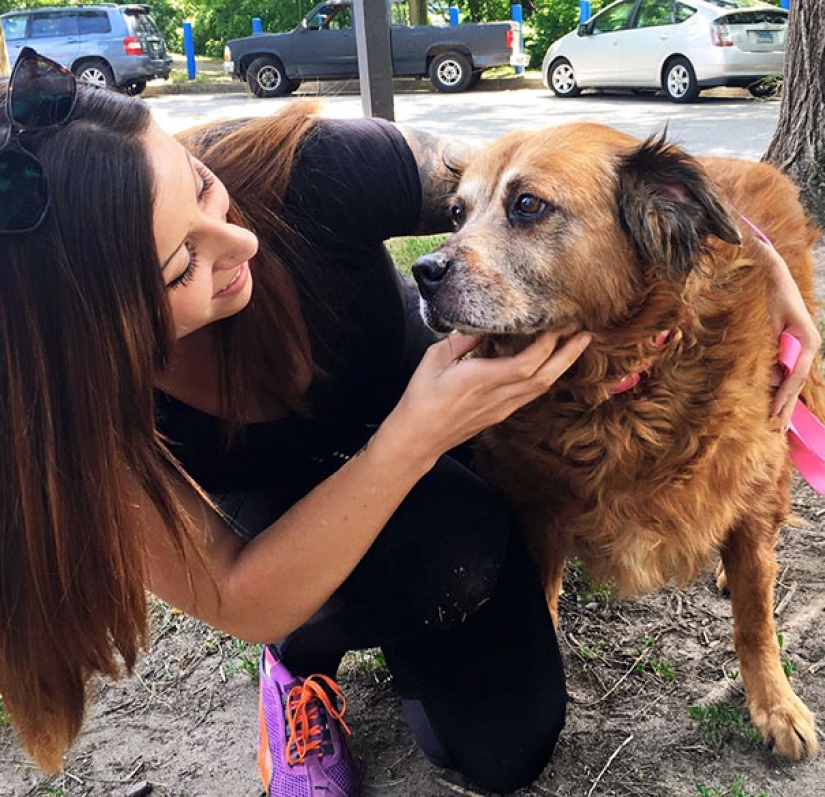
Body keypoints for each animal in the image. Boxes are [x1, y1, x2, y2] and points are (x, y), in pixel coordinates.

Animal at [416, 123, 824, 760]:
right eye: (456, 213)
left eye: (527, 204)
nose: (423, 272)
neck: (616, 391)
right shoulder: (533, 509)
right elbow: (544, 596)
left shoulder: (753, 477)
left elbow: (756, 617)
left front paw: (776, 704)